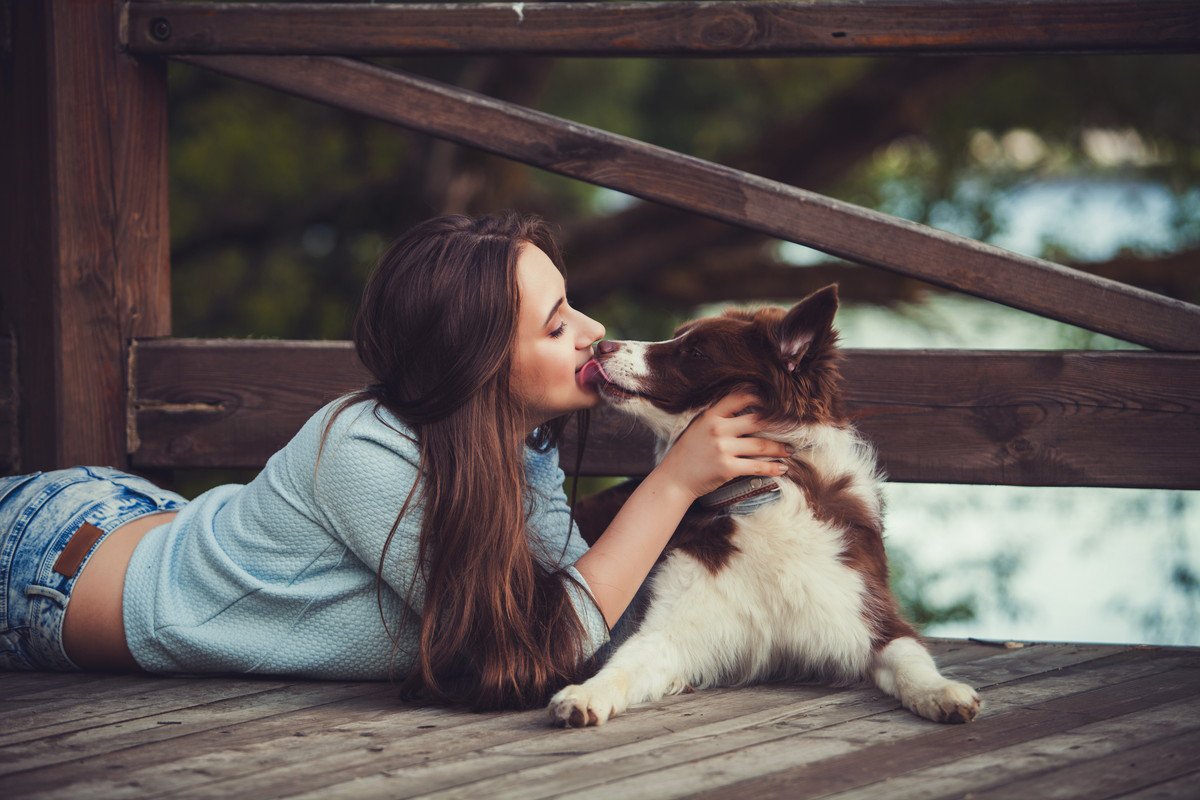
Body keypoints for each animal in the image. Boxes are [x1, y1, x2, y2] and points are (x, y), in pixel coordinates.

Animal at [549, 284, 979, 729]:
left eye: (696, 352)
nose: (602, 345)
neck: (753, 496)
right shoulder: (670, 627)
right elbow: (625, 662)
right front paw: (586, 693)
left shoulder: (872, 616)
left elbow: (911, 659)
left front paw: (940, 691)